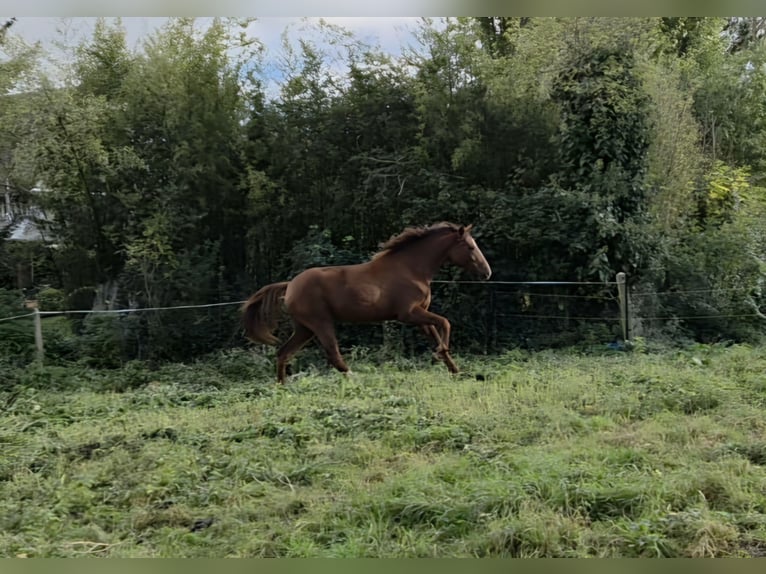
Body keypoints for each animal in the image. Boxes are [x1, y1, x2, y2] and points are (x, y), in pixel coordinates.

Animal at [241, 222, 492, 383]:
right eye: (470, 247)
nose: (487, 272)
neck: (412, 269)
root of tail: (290, 285)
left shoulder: (421, 315)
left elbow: (437, 332)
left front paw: (455, 369)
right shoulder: (409, 314)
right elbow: (446, 322)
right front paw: (442, 352)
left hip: (304, 328)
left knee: (283, 352)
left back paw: (282, 387)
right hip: (320, 323)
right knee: (333, 354)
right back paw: (355, 377)